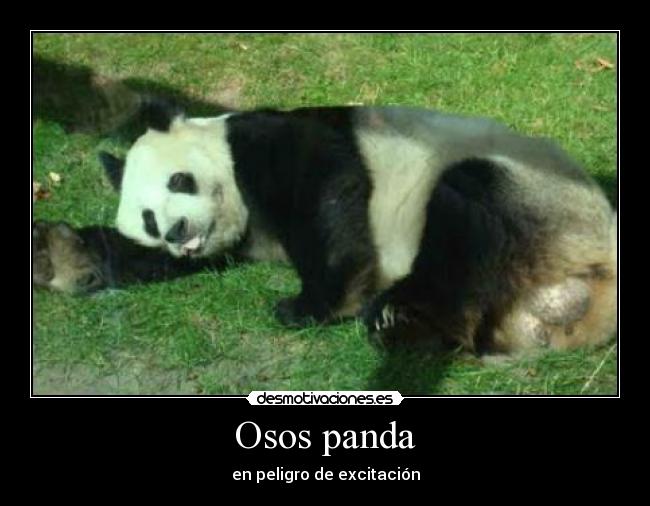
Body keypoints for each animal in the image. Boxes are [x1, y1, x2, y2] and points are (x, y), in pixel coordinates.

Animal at [35, 103, 618, 355]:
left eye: (179, 180)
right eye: (149, 220)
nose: (178, 231)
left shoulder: (269, 143)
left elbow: (325, 187)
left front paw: (313, 304)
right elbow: (135, 255)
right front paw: (58, 256)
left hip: (540, 197)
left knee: (464, 214)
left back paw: (397, 311)